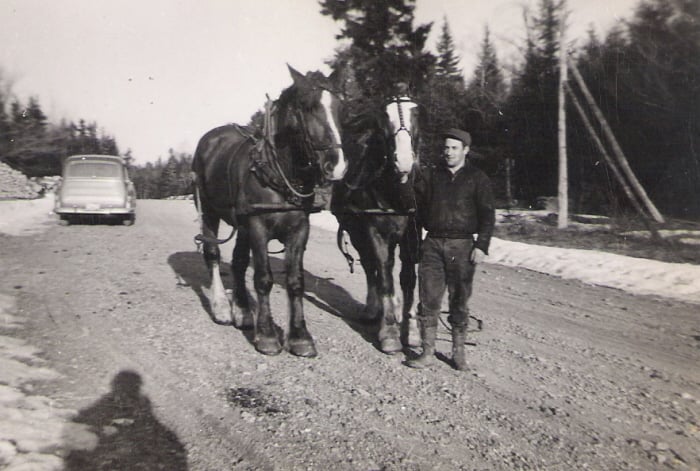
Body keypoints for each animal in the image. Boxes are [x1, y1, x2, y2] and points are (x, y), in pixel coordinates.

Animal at [192, 66, 346, 357]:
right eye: (307, 106)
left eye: (340, 106)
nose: (337, 165)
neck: (278, 173)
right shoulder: (258, 227)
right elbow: (263, 278)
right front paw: (266, 336)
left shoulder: (299, 230)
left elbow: (296, 281)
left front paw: (300, 337)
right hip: (209, 210)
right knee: (213, 253)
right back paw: (221, 307)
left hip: (241, 224)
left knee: (239, 261)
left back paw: (242, 311)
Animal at [331, 95, 421, 354]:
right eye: (384, 119)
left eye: (417, 114)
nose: (404, 160)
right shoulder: (374, 233)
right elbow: (383, 275)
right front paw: (389, 331)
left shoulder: (411, 235)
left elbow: (408, 278)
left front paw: (411, 331)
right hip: (357, 233)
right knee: (371, 267)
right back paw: (373, 309)